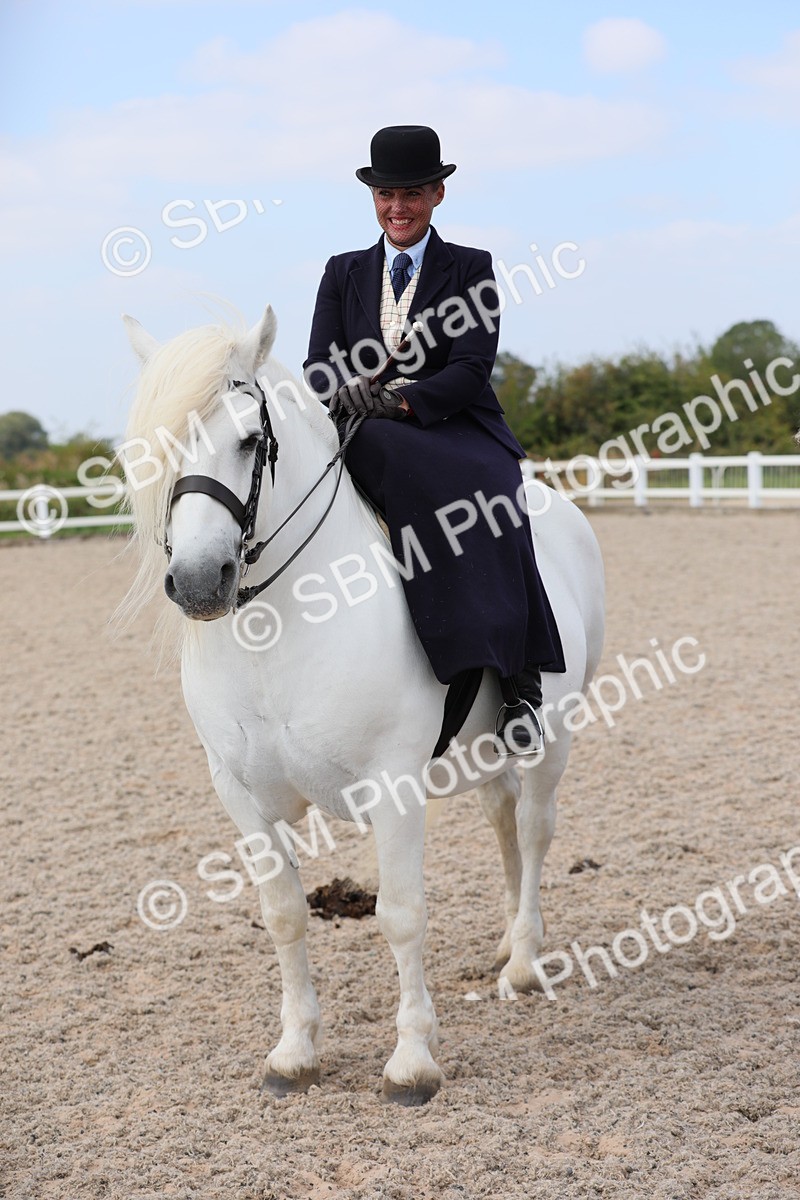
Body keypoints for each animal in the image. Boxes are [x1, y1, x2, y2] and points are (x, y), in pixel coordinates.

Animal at [119, 305, 605, 1106]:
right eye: (154, 450)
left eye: (248, 439)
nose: (196, 582)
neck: (279, 629)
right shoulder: (239, 794)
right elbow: (284, 915)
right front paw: (294, 1053)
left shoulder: (395, 786)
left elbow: (401, 916)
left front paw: (412, 1062)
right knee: (503, 819)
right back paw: (506, 940)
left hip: (554, 739)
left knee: (535, 830)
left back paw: (524, 963)